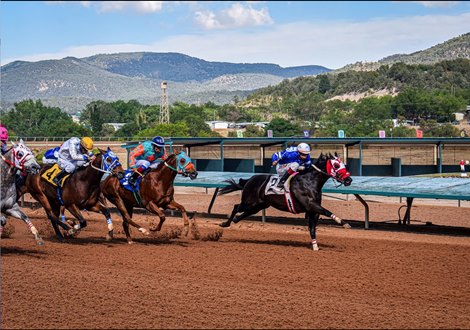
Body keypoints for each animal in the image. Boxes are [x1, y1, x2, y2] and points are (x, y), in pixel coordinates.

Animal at [217, 152, 352, 250]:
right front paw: (344, 223)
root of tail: (249, 180)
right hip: (249, 202)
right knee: (236, 207)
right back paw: (225, 223)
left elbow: (312, 228)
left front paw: (315, 246)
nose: (349, 180)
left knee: (246, 213)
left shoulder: (313, 211)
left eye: (344, 165)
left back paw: (235, 220)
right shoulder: (310, 205)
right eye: (336, 165)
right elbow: (327, 212)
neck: (309, 181)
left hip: (259, 205)